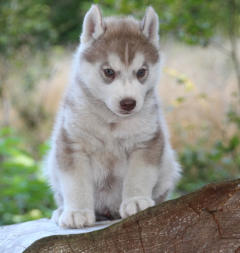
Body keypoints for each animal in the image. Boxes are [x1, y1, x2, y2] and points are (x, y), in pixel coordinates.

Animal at [45, 4, 180, 228]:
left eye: (141, 72)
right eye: (108, 72)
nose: (128, 103)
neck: (111, 121)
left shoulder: (146, 142)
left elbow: (139, 176)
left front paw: (136, 201)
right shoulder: (72, 143)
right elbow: (75, 183)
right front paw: (77, 212)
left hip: (168, 163)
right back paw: (62, 210)